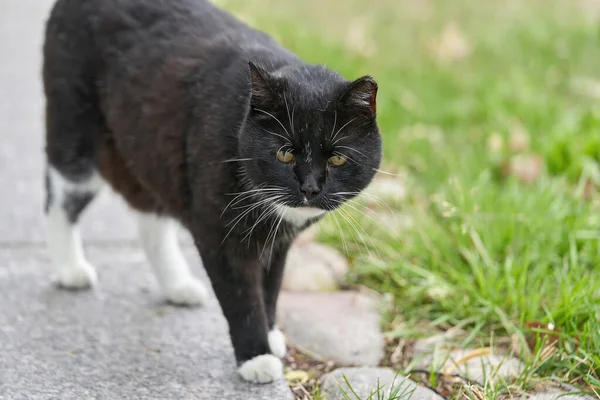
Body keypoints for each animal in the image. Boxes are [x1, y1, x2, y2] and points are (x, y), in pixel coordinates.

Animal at [43, 0, 380, 382]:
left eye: (337, 158)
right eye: (284, 153)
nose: (309, 187)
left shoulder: (278, 243)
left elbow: (271, 287)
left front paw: (271, 334)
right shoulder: (220, 234)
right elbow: (241, 296)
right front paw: (257, 356)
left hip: (148, 149)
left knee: (150, 215)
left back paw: (177, 285)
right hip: (76, 133)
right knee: (60, 199)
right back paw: (71, 269)